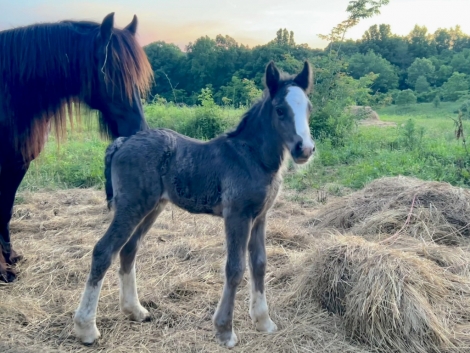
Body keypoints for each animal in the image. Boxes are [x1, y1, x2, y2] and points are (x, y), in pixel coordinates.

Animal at [0, 13, 152, 280]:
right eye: (111, 74)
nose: (139, 131)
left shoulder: (16, 164)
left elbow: (5, 212)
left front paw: (11, 258)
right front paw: (2, 270)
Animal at [74, 59, 316, 346]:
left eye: (309, 108)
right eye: (280, 110)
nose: (305, 149)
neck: (252, 157)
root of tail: (123, 142)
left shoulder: (259, 216)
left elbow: (259, 264)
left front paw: (264, 322)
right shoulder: (237, 214)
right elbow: (235, 268)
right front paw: (225, 331)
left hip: (151, 207)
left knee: (128, 250)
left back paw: (135, 310)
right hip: (132, 206)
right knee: (104, 251)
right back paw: (86, 328)